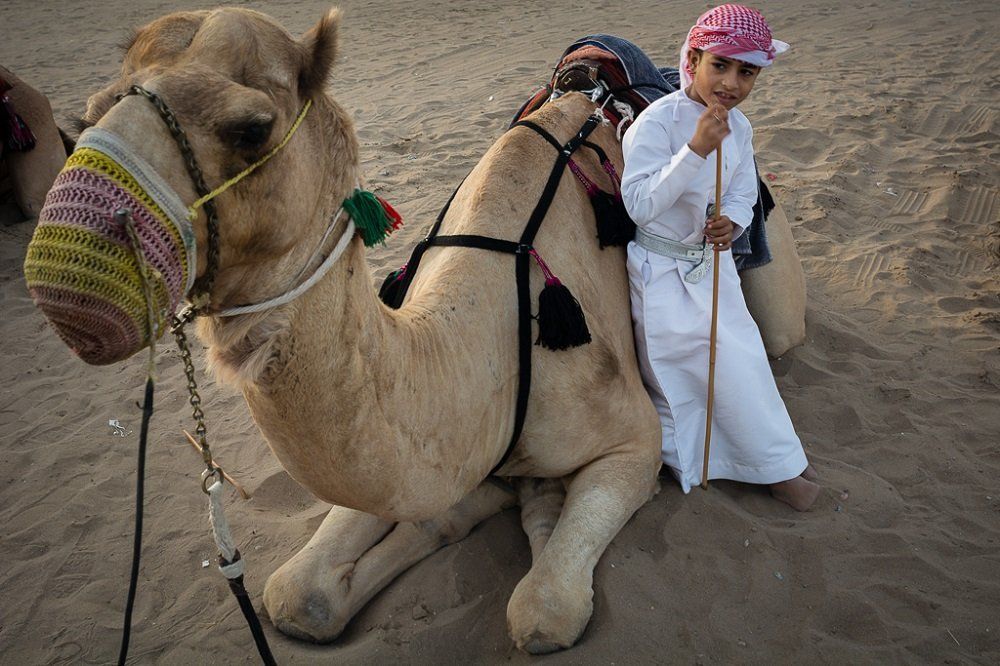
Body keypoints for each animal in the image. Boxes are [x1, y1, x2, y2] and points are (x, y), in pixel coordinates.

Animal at [31, 6, 663, 653]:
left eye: (252, 128)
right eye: (85, 118)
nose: (70, 278)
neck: (494, 345)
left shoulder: (637, 440)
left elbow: (544, 608)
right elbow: (296, 592)